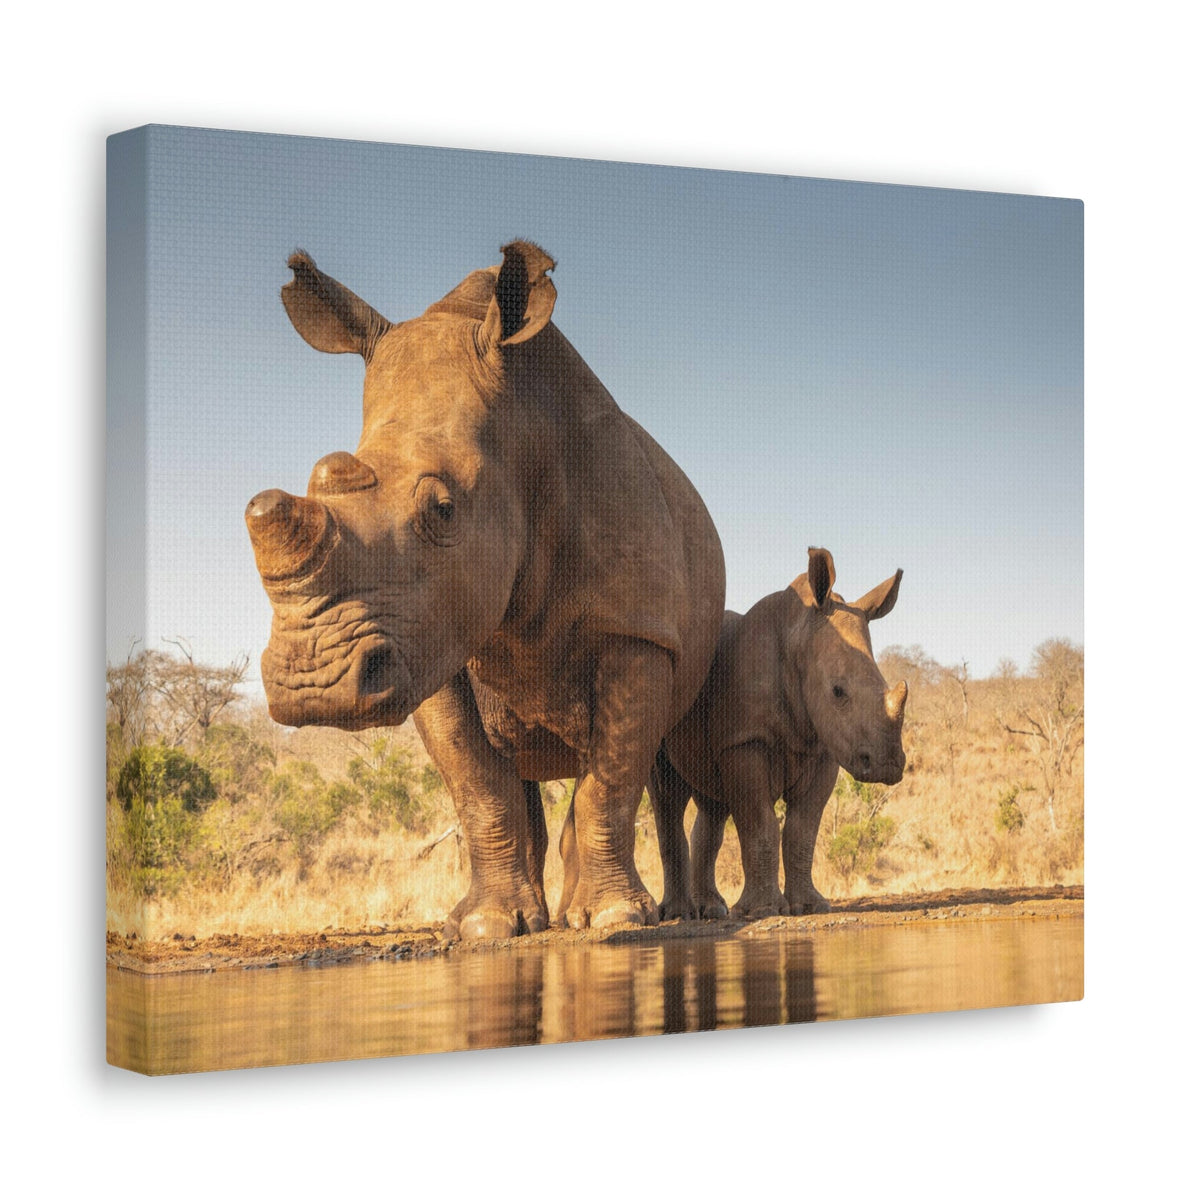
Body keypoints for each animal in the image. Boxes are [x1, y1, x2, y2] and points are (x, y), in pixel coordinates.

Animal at [245, 241, 726, 937]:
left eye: (443, 510)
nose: (314, 687)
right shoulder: (429, 641)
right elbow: (476, 783)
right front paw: (487, 927)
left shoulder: (636, 629)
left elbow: (611, 779)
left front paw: (613, 919)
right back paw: (546, 917)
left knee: (656, 771)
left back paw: (661, 915)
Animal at [650, 547, 906, 919]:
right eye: (837, 691)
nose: (888, 765)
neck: (797, 635)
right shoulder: (745, 740)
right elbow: (760, 824)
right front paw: (763, 911)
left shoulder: (824, 747)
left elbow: (802, 830)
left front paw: (810, 906)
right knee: (666, 793)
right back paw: (678, 915)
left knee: (712, 805)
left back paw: (712, 910)